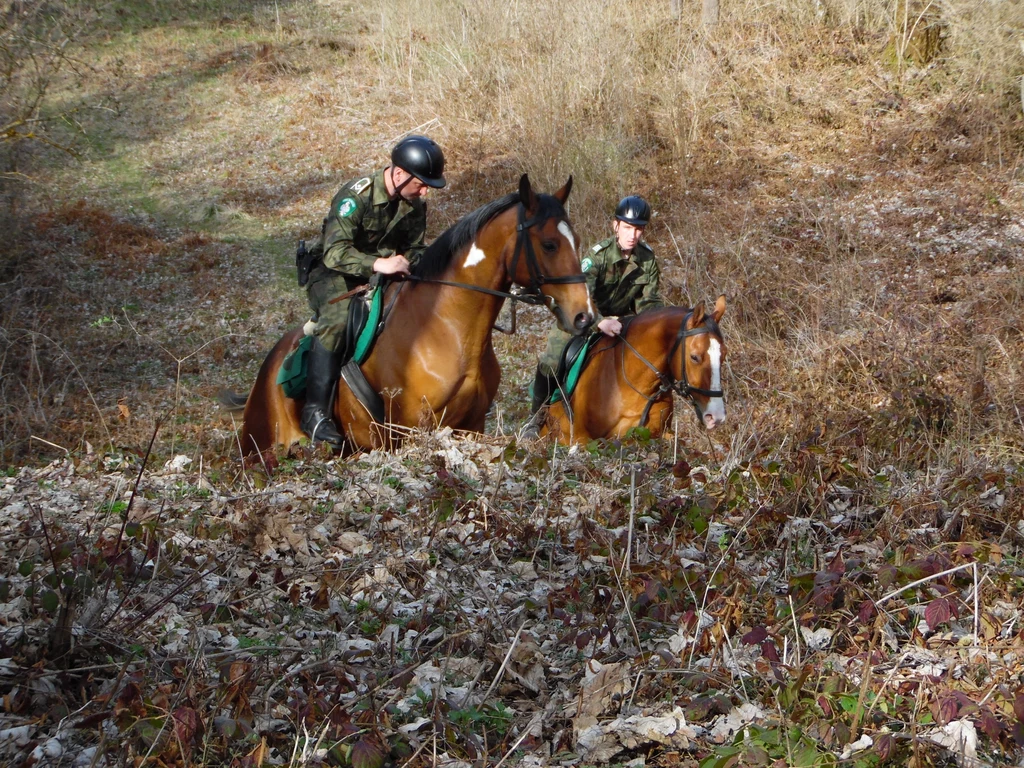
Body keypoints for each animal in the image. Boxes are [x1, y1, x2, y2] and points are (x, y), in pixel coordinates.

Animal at [227, 174, 589, 456]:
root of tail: (266, 368)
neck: (448, 329)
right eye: (549, 244)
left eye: (576, 240)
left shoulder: (471, 427)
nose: (583, 316)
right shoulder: (409, 433)